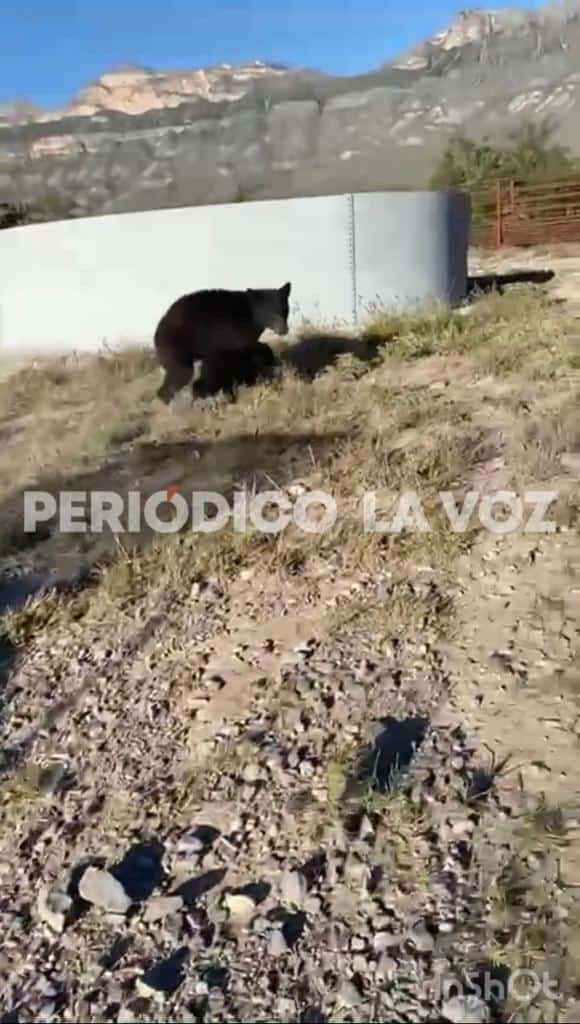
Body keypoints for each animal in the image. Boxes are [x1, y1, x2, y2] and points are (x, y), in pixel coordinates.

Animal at [153, 282, 291, 404]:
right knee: (177, 377)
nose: (283, 329)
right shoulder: (234, 335)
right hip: (176, 349)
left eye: (285, 310)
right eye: (269, 311)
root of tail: (157, 332)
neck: (250, 313)